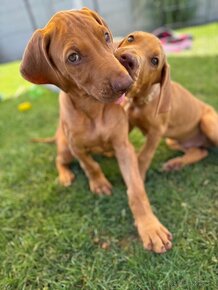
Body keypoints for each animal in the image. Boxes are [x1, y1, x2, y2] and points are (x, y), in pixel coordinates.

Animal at [20, 10, 172, 253]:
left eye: (106, 36)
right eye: (73, 57)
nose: (126, 84)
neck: (93, 108)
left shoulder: (124, 146)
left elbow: (136, 191)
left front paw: (150, 227)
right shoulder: (77, 147)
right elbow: (89, 165)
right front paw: (99, 183)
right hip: (65, 148)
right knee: (59, 160)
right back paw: (65, 175)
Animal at [116, 32, 218, 181]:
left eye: (155, 61)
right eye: (130, 38)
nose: (127, 59)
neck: (139, 101)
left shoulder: (156, 132)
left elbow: (145, 155)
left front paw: (139, 175)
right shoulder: (129, 122)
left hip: (209, 124)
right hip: (174, 141)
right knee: (200, 151)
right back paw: (176, 163)